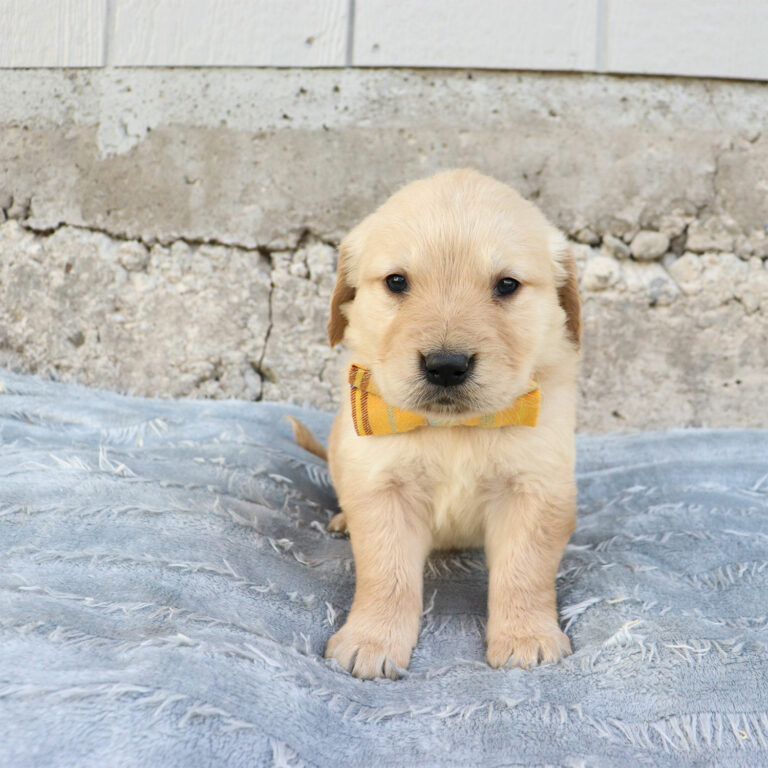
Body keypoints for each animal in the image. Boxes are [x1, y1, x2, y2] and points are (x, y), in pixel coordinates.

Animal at [318, 168, 576, 680]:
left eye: (507, 285)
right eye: (396, 282)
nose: (446, 365)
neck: (454, 430)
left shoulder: (537, 488)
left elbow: (524, 572)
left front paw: (526, 637)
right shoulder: (381, 488)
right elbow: (387, 576)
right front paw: (371, 641)